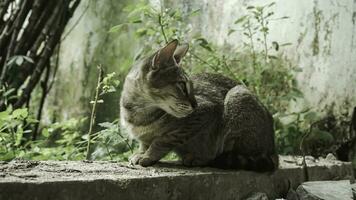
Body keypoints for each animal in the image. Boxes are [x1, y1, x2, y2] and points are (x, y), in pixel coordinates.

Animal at [119, 39, 278, 172]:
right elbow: (145, 143)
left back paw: (196, 159)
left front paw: (148, 155)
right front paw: (141, 153)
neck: (138, 114)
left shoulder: (205, 112)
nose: (195, 105)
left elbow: (162, 140)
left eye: (191, 86)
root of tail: (273, 150)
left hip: (237, 99)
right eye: (182, 85)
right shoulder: (144, 138)